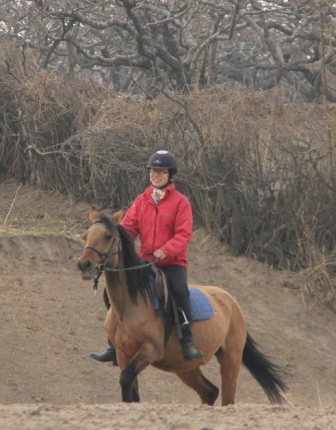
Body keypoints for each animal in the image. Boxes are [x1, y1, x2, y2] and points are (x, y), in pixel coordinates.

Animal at [77, 208, 288, 406]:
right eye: (86, 235)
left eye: (107, 236)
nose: (83, 265)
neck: (131, 305)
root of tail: (231, 302)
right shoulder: (123, 354)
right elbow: (131, 390)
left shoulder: (150, 350)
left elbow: (126, 379)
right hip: (185, 367)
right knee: (209, 392)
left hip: (230, 361)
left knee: (226, 398)